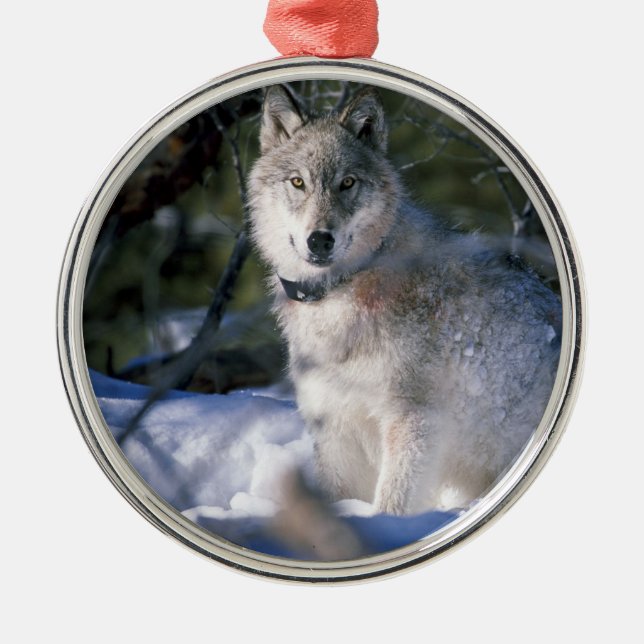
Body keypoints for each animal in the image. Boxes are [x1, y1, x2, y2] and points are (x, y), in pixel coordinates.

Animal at [247, 84, 561, 515]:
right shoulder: (336, 426)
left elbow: (392, 504)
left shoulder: (413, 421)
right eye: (297, 182)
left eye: (347, 183)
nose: (320, 240)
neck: (343, 291)